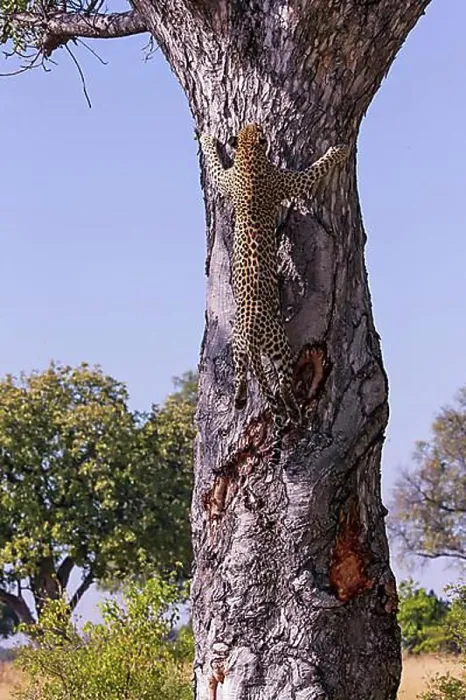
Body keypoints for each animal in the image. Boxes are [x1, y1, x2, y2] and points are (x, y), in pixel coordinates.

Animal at [199, 123, 348, 466]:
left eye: (251, 129)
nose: (255, 126)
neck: (249, 156)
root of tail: (252, 332)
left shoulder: (225, 180)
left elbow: (215, 166)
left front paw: (208, 140)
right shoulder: (288, 181)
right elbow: (312, 170)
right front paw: (338, 151)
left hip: (239, 348)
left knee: (246, 377)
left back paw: (242, 400)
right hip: (280, 345)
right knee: (283, 384)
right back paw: (293, 410)